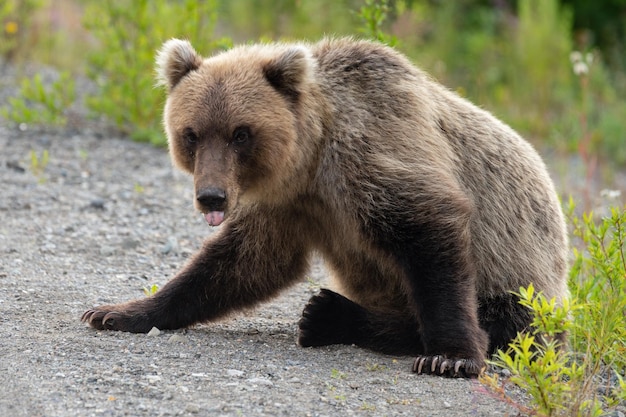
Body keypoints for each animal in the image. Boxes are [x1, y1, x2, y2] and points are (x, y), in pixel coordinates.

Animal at [80, 38, 568, 376]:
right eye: (192, 133)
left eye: (241, 133)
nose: (212, 196)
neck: (309, 160)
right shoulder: (286, 204)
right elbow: (241, 262)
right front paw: (117, 312)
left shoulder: (374, 152)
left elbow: (429, 231)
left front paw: (450, 357)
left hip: (529, 277)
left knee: (510, 321)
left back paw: (328, 315)